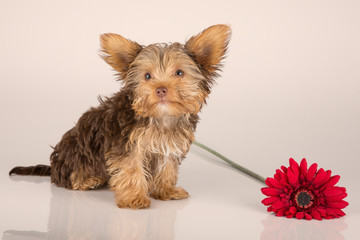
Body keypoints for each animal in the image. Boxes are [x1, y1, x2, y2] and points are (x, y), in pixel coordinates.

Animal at [11, 23, 232, 208]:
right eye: (147, 76)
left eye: (179, 73)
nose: (161, 89)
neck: (160, 117)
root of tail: (55, 165)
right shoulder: (125, 145)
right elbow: (131, 168)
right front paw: (135, 198)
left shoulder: (170, 144)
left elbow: (167, 167)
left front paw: (166, 191)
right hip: (75, 152)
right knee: (70, 176)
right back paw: (88, 180)